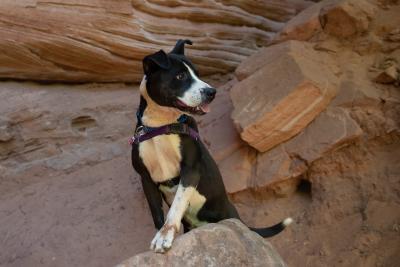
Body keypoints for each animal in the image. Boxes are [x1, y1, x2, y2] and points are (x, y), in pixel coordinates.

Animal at [130, 39, 290, 253]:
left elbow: (176, 205)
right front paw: (160, 235)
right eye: (180, 76)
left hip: (228, 220)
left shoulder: (190, 170)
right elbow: (157, 214)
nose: (211, 92)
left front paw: (164, 235)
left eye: (197, 73)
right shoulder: (146, 179)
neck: (162, 126)